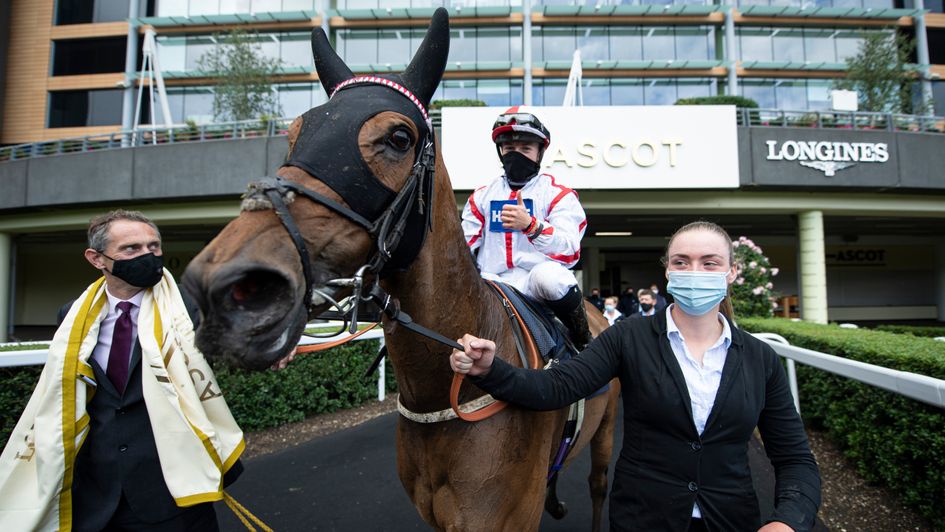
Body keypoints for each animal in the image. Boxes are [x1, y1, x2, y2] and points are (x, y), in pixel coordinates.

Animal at [182, 7, 624, 528]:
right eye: (294, 133)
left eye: (398, 137)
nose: (221, 289)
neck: (441, 393)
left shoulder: (504, 516)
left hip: (606, 430)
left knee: (598, 484)